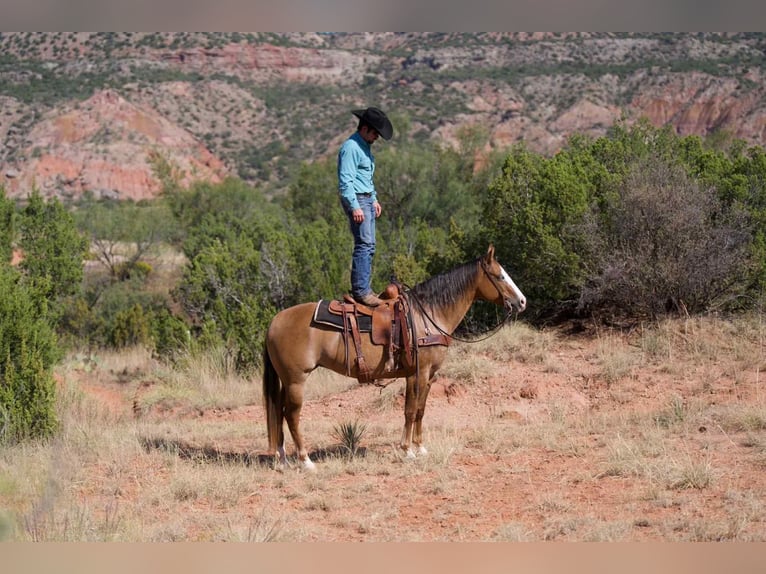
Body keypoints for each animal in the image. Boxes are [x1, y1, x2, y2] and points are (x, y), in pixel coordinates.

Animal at [262, 244, 526, 471]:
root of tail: (274, 321)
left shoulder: (428, 375)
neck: (427, 315)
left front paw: (420, 448)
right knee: (291, 415)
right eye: (500, 276)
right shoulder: (418, 373)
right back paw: (305, 460)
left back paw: (282, 459)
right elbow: (410, 410)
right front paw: (407, 450)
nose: (522, 301)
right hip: (297, 380)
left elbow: (420, 410)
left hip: (287, 381)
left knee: (279, 412)